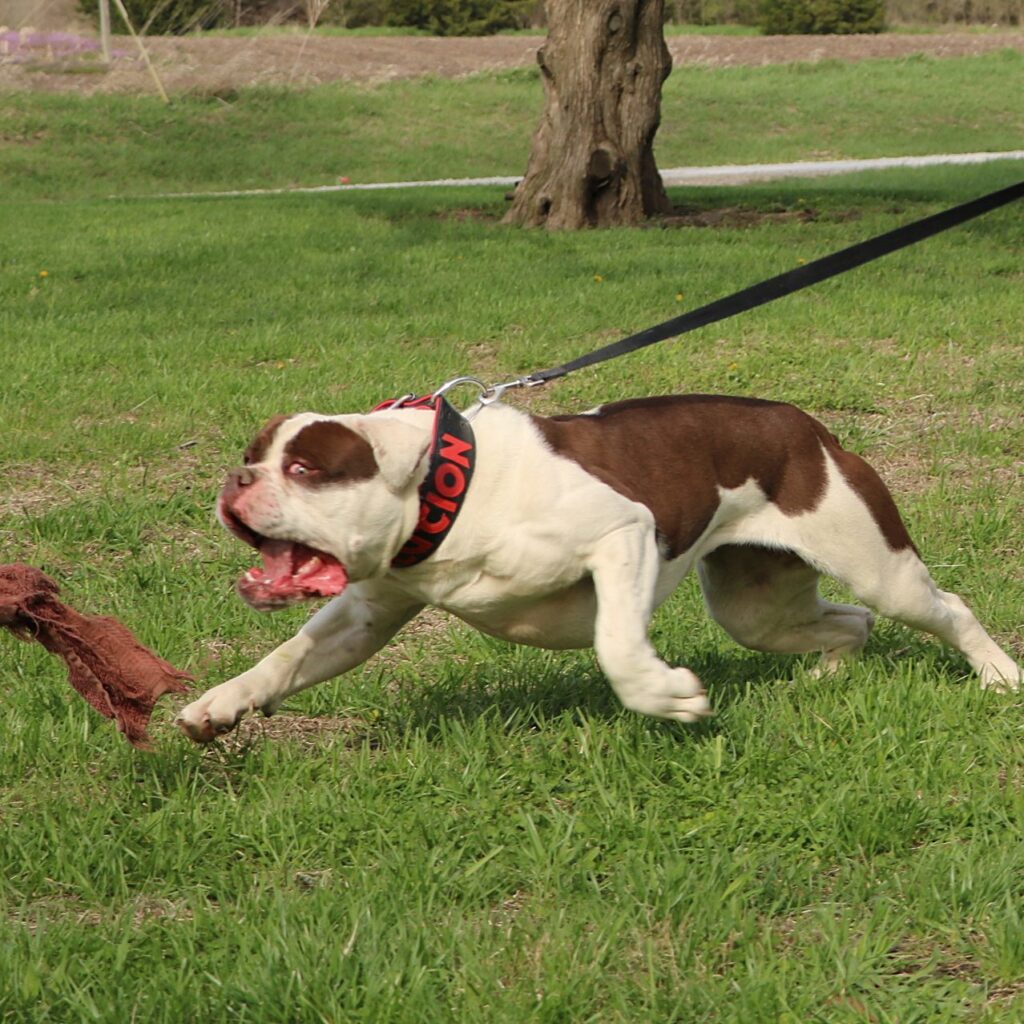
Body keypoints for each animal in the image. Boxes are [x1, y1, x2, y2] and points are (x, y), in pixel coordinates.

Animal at [174, 393, 1015, 745]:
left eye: (306, 469)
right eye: (254, 455)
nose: (238, 478)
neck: (448, 489)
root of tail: (805, 425)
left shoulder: (623, 533)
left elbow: (617, 645)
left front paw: (668, 696)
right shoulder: (364, 614)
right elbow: (285, 659)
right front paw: (219, 705)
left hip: (877, 566)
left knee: (946, 607)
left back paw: (999, 675)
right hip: (757, 606)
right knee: (849, 623)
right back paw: (828, 677)